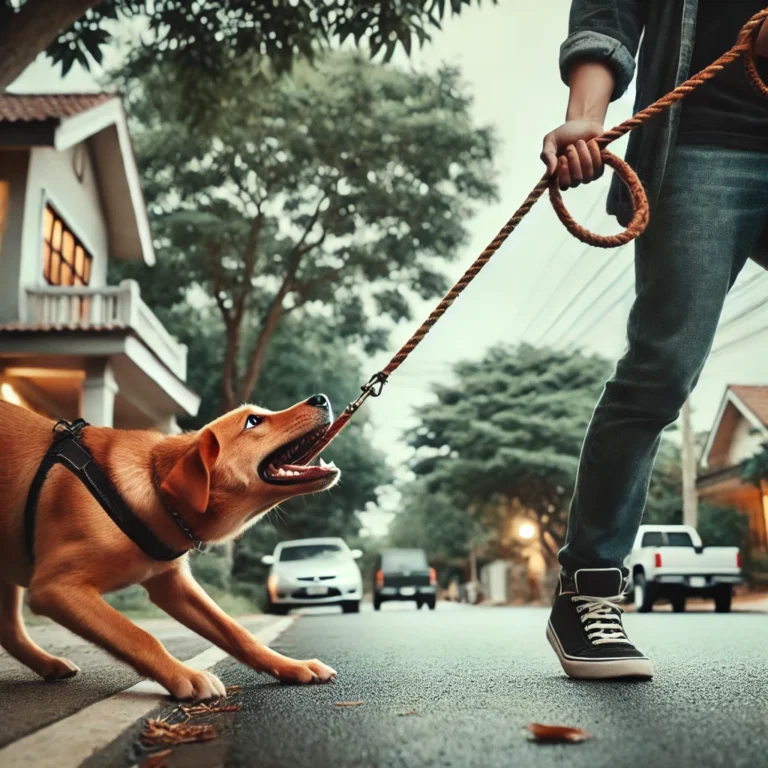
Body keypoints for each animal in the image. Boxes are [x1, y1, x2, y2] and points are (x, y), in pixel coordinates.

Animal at [0, 392, 342, 700]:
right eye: (253, 421)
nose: (322, 398)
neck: (154, 489)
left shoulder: (172, 584)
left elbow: (236, 631)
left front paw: (292, 666)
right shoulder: (56, 588)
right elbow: (139, 636)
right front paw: (186, 677)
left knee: (10, 630)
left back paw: (50, 665)